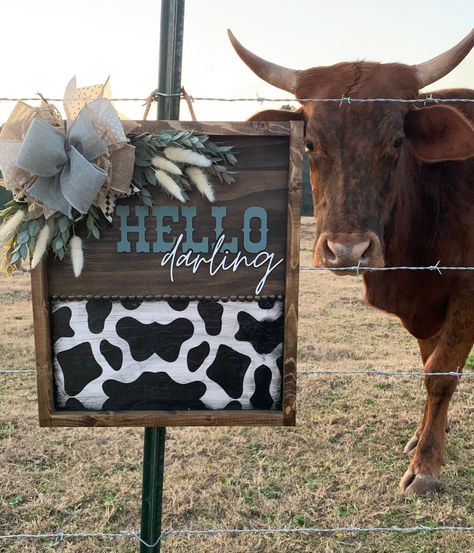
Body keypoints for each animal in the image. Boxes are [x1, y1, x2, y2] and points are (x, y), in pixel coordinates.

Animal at [230, 28, 474, 494]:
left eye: (397, 141)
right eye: (310, 142)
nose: (346, 250)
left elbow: (440, 373)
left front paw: (426, 466)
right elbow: (429, 364)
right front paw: (424, 435)